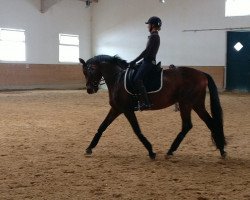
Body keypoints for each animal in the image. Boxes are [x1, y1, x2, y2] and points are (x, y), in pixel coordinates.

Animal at [78, 54, 227, 159]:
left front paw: (151, 151)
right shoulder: (116, 109)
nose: (90, 89)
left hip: (186, 103)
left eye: (90, 70)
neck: (117, 79)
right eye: (84, 72)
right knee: (210, 123)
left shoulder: (126, 110)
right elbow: (102, 127)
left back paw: (171, 151)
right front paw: (89, 148)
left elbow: (137, 130)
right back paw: (221, 150)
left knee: (187, 125)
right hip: (196, 104)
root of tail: (202, 74)